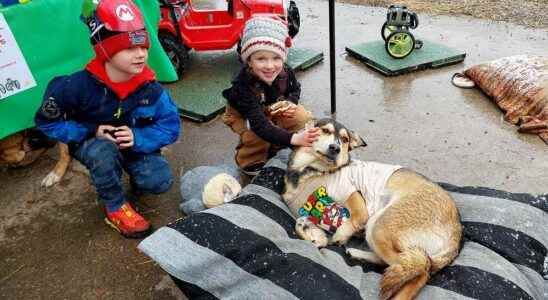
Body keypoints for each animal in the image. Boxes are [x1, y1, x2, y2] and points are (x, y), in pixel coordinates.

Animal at [282, 119, 462, 300]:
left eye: (345, 140)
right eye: (325, 130)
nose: (335, 148)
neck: (311, 171)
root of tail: (457, 232)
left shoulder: (351, 194)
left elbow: (355, 219)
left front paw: (340, 235)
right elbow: (303, 225)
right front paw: (312, 234)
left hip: (378, 226)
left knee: (421, 269)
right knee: (400, 263)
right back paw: (356, 253)